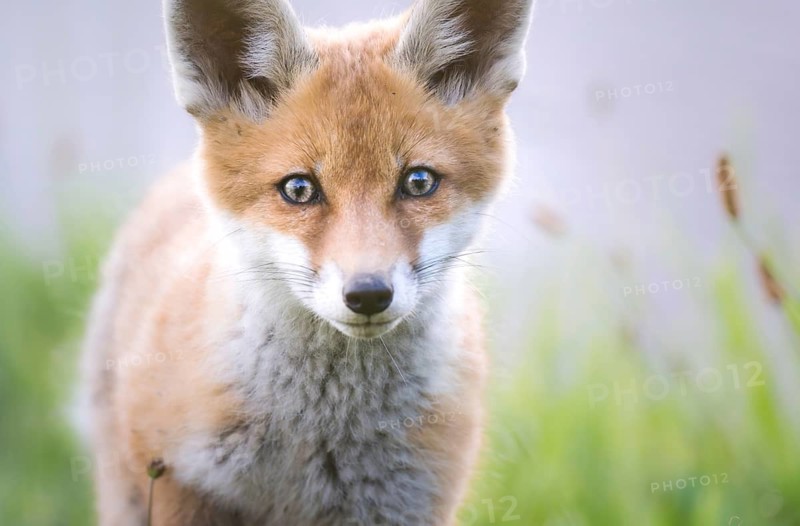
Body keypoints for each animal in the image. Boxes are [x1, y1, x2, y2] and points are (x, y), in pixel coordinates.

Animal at [80, 0, 533, 524]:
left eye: (418, 182)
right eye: (299, 189)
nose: (368, 293)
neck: (323, 433)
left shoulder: (406, 505)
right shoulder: (179, 486)